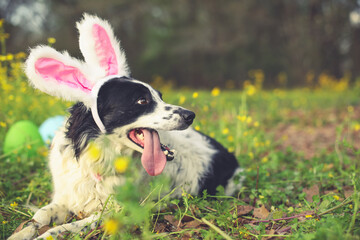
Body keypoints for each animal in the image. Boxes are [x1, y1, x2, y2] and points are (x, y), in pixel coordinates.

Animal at [9, 14, 243, 239]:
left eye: (160, 96)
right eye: (142, 100)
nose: (190, 116)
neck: (98, 157)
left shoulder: (115, 210)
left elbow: (66, 227)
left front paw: (47, 234)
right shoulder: (68, 194)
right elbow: (40, 215)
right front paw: (22, 232)